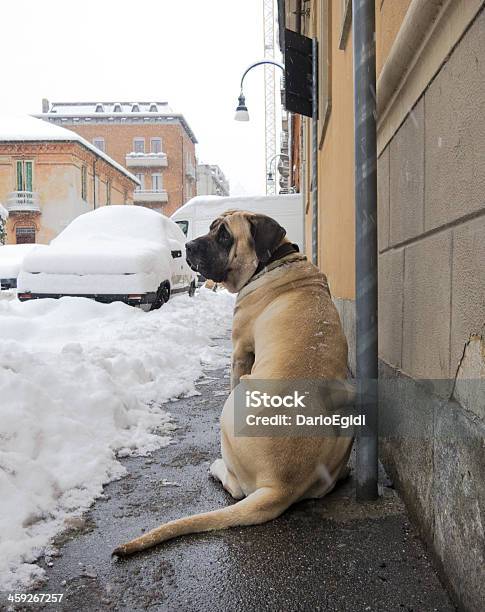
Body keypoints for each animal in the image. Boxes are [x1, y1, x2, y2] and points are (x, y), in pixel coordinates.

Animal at [113, 212, 352, 560]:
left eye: (224, 235)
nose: (187, 245)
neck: (275, 260)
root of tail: (283, 487)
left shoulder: (240, 351)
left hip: (231, 410)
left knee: (238, 489)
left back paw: (217, 468)